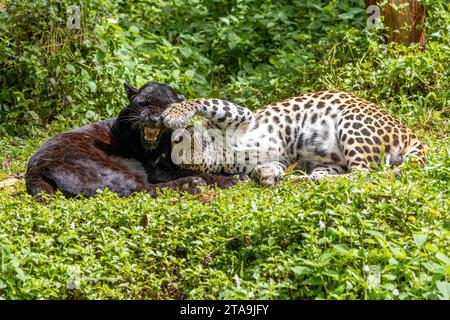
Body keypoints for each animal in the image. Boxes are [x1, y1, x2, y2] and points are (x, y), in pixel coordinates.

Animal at [163, 90, 426, 185]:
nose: (175, 141)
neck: (218, 151)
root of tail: (411, 134)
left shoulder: (242, 115)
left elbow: (206, 102)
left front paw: (174, 114)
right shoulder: (278, 158)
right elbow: (271, 166)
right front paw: (265, 175)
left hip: (352, 123)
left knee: (365, 174)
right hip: (330, 163)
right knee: (346, 174)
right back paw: (306, 178)